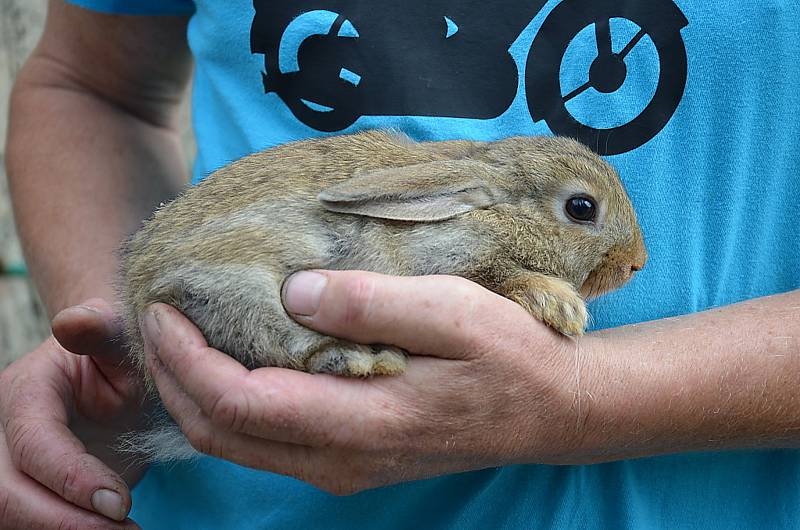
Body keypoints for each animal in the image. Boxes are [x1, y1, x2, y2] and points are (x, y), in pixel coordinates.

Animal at [117, 128, 644, 458]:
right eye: (581, 208)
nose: (637, 262)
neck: (491, 207)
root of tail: (138, 306)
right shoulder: (451, 255)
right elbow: (504, 276)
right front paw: (562, 306)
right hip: (234, 288)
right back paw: (363, 359)